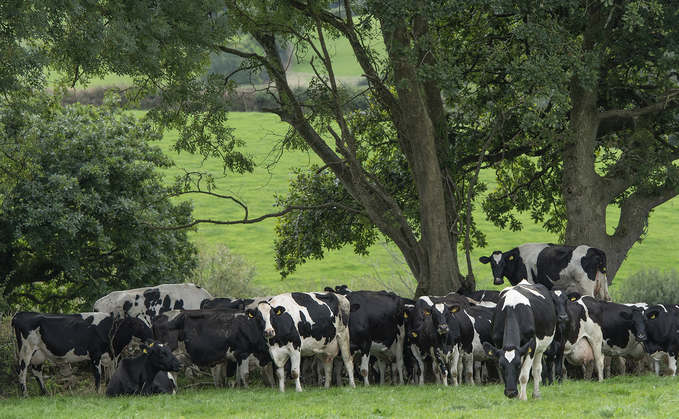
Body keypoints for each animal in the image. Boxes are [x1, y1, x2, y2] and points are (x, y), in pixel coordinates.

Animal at [12, 312, 153, 398]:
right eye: (140, 325)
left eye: (148, 323)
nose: (152, 337)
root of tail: (20, 314)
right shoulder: (95, 354)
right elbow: (98, 375)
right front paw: (98, 392)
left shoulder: (110, 357)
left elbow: (113, 374)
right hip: (25, 351)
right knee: (22, 371)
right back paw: (25, 395)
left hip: (39, 353)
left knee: (37, 372)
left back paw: (46, 393)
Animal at [478, 243, 612, 302]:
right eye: (492, 264)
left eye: (503, 264)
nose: (497, 280)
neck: (519, 261)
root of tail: (594, 249)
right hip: (602, 287)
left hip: (586, 287)